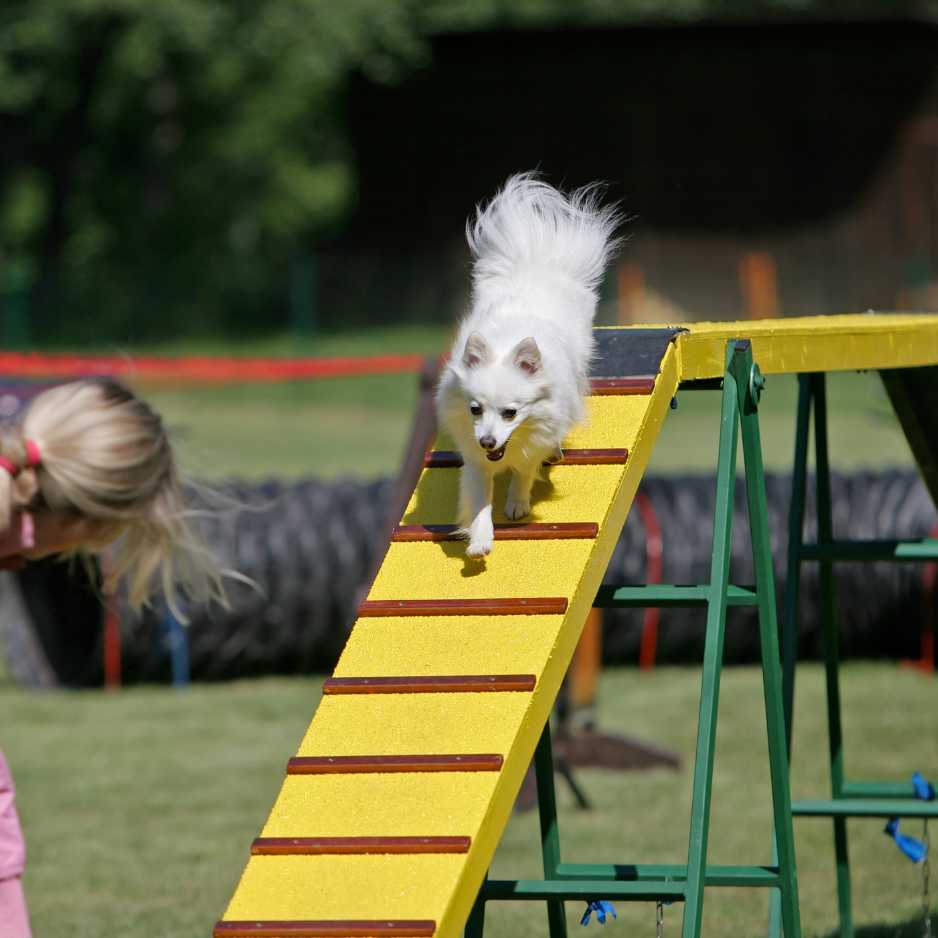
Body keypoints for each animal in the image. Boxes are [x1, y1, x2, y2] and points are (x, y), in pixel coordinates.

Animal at [436, 174, 616, 556]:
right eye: (475, 409)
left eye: (511, 413)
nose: (488, 441)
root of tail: (535, 264)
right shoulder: (475, 458)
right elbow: (479, 499)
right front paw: (480, 539)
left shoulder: (535, 437)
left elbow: (525, 469)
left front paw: (517, 503)